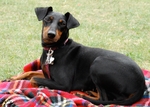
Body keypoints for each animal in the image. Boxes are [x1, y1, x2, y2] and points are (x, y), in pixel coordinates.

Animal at [11, 6, 146, 105]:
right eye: (48, 19)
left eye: (62, 24)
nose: (51, 34)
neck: (53, 49)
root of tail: (142, 84)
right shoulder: (47, 75)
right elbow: (30, 73)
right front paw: (14, 78)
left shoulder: (63, 84)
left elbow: (34, 78)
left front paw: (41, 86)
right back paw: (88, 91)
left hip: (98, 63)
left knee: (105, 99)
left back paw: (82, 94)